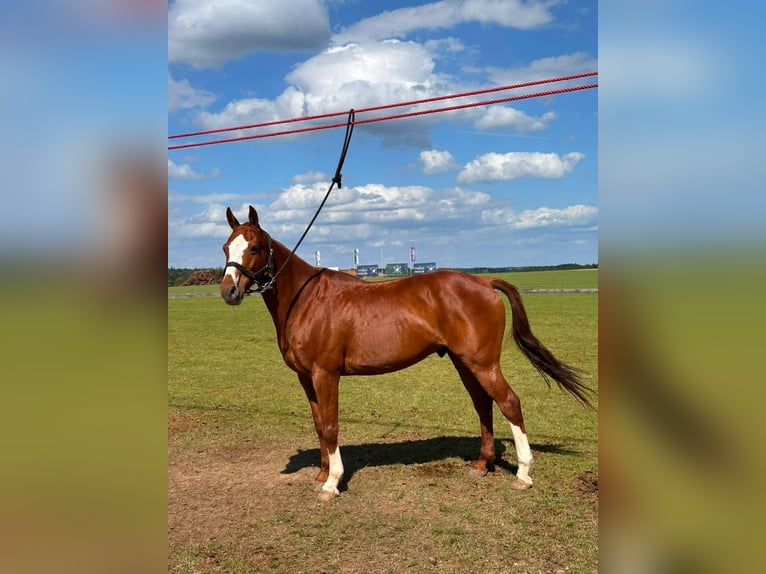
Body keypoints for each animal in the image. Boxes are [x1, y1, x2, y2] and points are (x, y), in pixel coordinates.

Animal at [220, 205, 593, 500]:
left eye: (254, 246)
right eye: (226, 247)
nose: (229, 291)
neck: (306, 299)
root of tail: (484, 282)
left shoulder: (326, 375)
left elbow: (330, 426)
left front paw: (332, 483)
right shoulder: (306, 378)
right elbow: (318, 424)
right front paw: (322, 475)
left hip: (483, 362)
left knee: (509, 403)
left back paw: (523, 475)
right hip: (464, 362)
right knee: (483, 404)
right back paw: (482, 464)